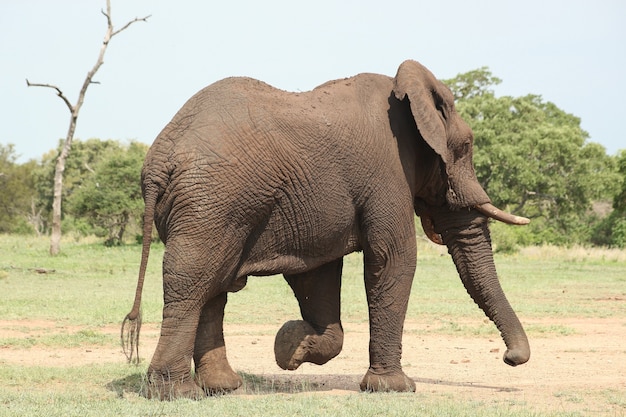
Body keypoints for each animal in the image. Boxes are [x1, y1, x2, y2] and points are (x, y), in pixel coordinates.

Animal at [123, 59, 532, 400]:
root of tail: (157, 161)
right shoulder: (388, 170)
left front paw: (290, 347)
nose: (511, 358)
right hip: (212, 200)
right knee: (193, 280)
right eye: (465, 147)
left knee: (213, 284)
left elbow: (315, 273)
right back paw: (176, 393)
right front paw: (396, 389)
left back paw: (223, 388)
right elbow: (393, 259)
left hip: (208, 206)